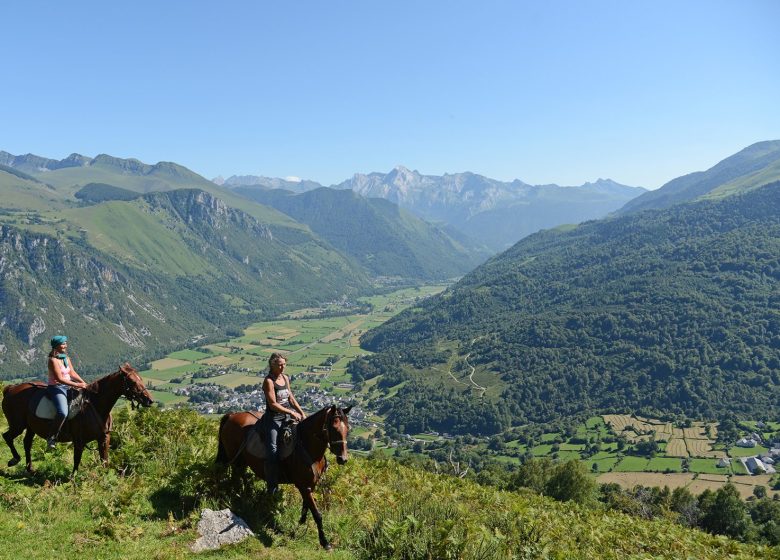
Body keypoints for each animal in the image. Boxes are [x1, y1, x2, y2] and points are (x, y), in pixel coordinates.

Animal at [1, 364, 154, 472]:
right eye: (132, 381)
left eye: (140, 378)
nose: (149, 400)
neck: (95, 405)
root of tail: (10, 389)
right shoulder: (79, 440)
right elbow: (77, 460)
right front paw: (73, 479)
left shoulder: (104, 438)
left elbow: (104, 460)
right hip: (17, 425)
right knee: (7, 436)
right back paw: (15, 460)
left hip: (30, 427)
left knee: (26, 443)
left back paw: (29, 468)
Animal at [212, 404, 348, 548]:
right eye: (334, 428)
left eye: (348, 429)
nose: (343, 459)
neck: (307, 446)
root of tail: (232, 415)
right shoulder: (303, 486)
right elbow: (317, 514)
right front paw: (324, 542)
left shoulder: (311, 485)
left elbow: (306, 508)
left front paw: (299, 526)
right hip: (234, 460)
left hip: (241, 462)